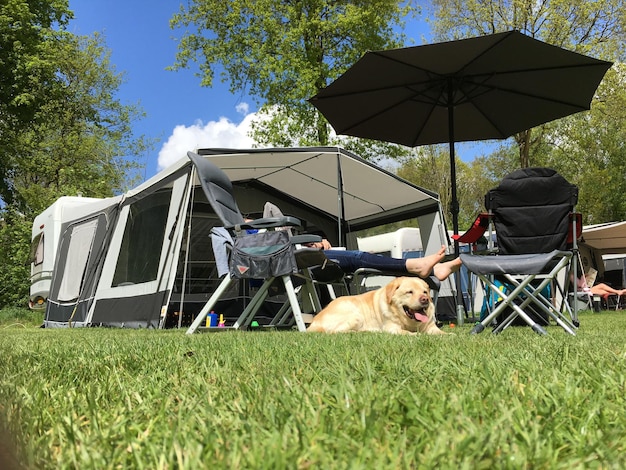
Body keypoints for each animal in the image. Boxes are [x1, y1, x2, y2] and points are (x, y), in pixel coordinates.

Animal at [304, 276, 442, 334]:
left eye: (425, 292)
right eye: (410, 292)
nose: (425, 299)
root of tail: (314, 321)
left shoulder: (431, 327)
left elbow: (442, 333)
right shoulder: (392, 328)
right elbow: (410, 333)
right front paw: (416, 335)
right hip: (355, 315)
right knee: (334, 332)